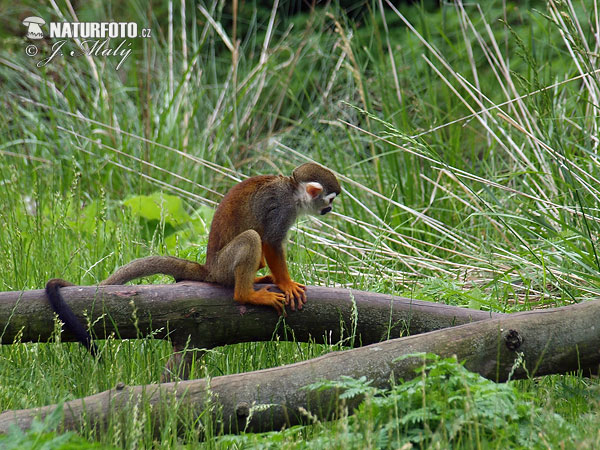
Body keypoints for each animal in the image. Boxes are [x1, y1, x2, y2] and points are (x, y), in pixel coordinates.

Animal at [46, 163, 340, 354]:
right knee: (251, 239)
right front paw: (286, 283)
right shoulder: (283, 209)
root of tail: (209, 268)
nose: (329, 209)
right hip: (224, 264)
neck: (293, 191)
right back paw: (246, 293)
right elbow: (270, 241)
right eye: (330, 199)